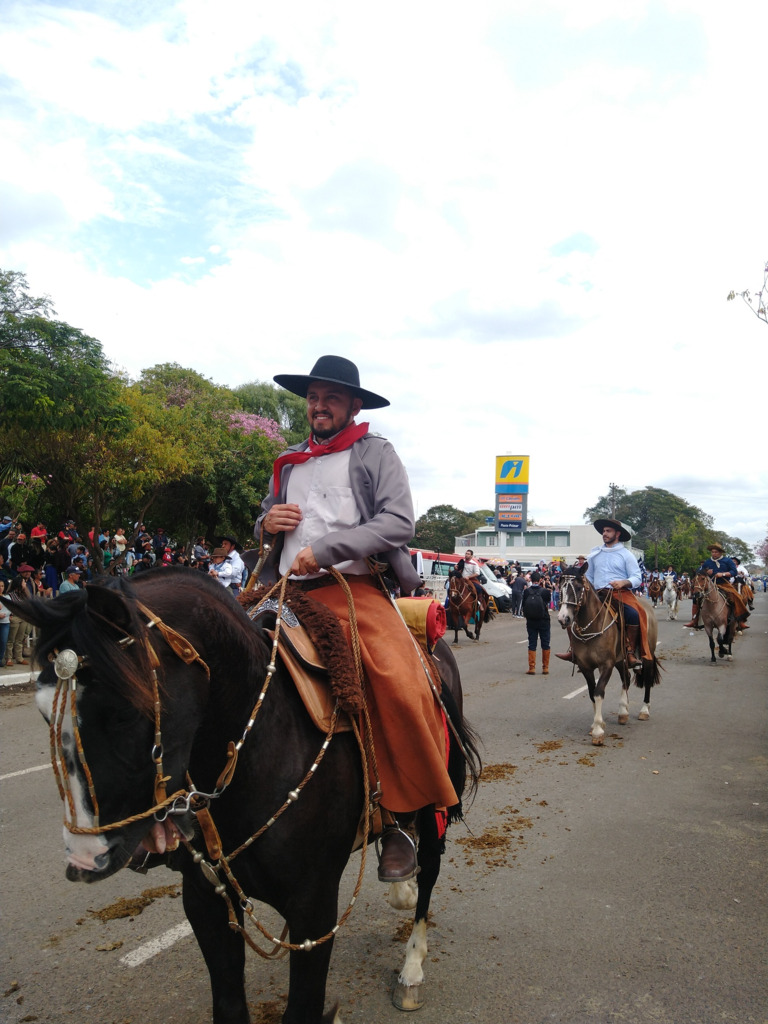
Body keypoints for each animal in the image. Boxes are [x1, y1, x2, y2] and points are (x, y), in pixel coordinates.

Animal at [3, 573, 479, 1019]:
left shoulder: (314, 908)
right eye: (44, 714)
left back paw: (411, 967)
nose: (85, 860)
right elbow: (230, 1005)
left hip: (438, 797)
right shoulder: (205, 900)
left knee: (429, 872)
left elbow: (302, 1008)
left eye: (123, 713)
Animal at [557, 565, 663, 749]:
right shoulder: (586, 667)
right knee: (625, 677)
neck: (592, 626)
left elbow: (599, 692)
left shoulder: (606, 665)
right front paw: (595, 725)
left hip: (647, 653)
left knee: (648, 678)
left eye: (578, 587)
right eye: (561, 587)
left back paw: (644, 710)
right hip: (620, 660)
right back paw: (623, 712)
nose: (564, 618)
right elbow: (591, 692)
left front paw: (598, 731)